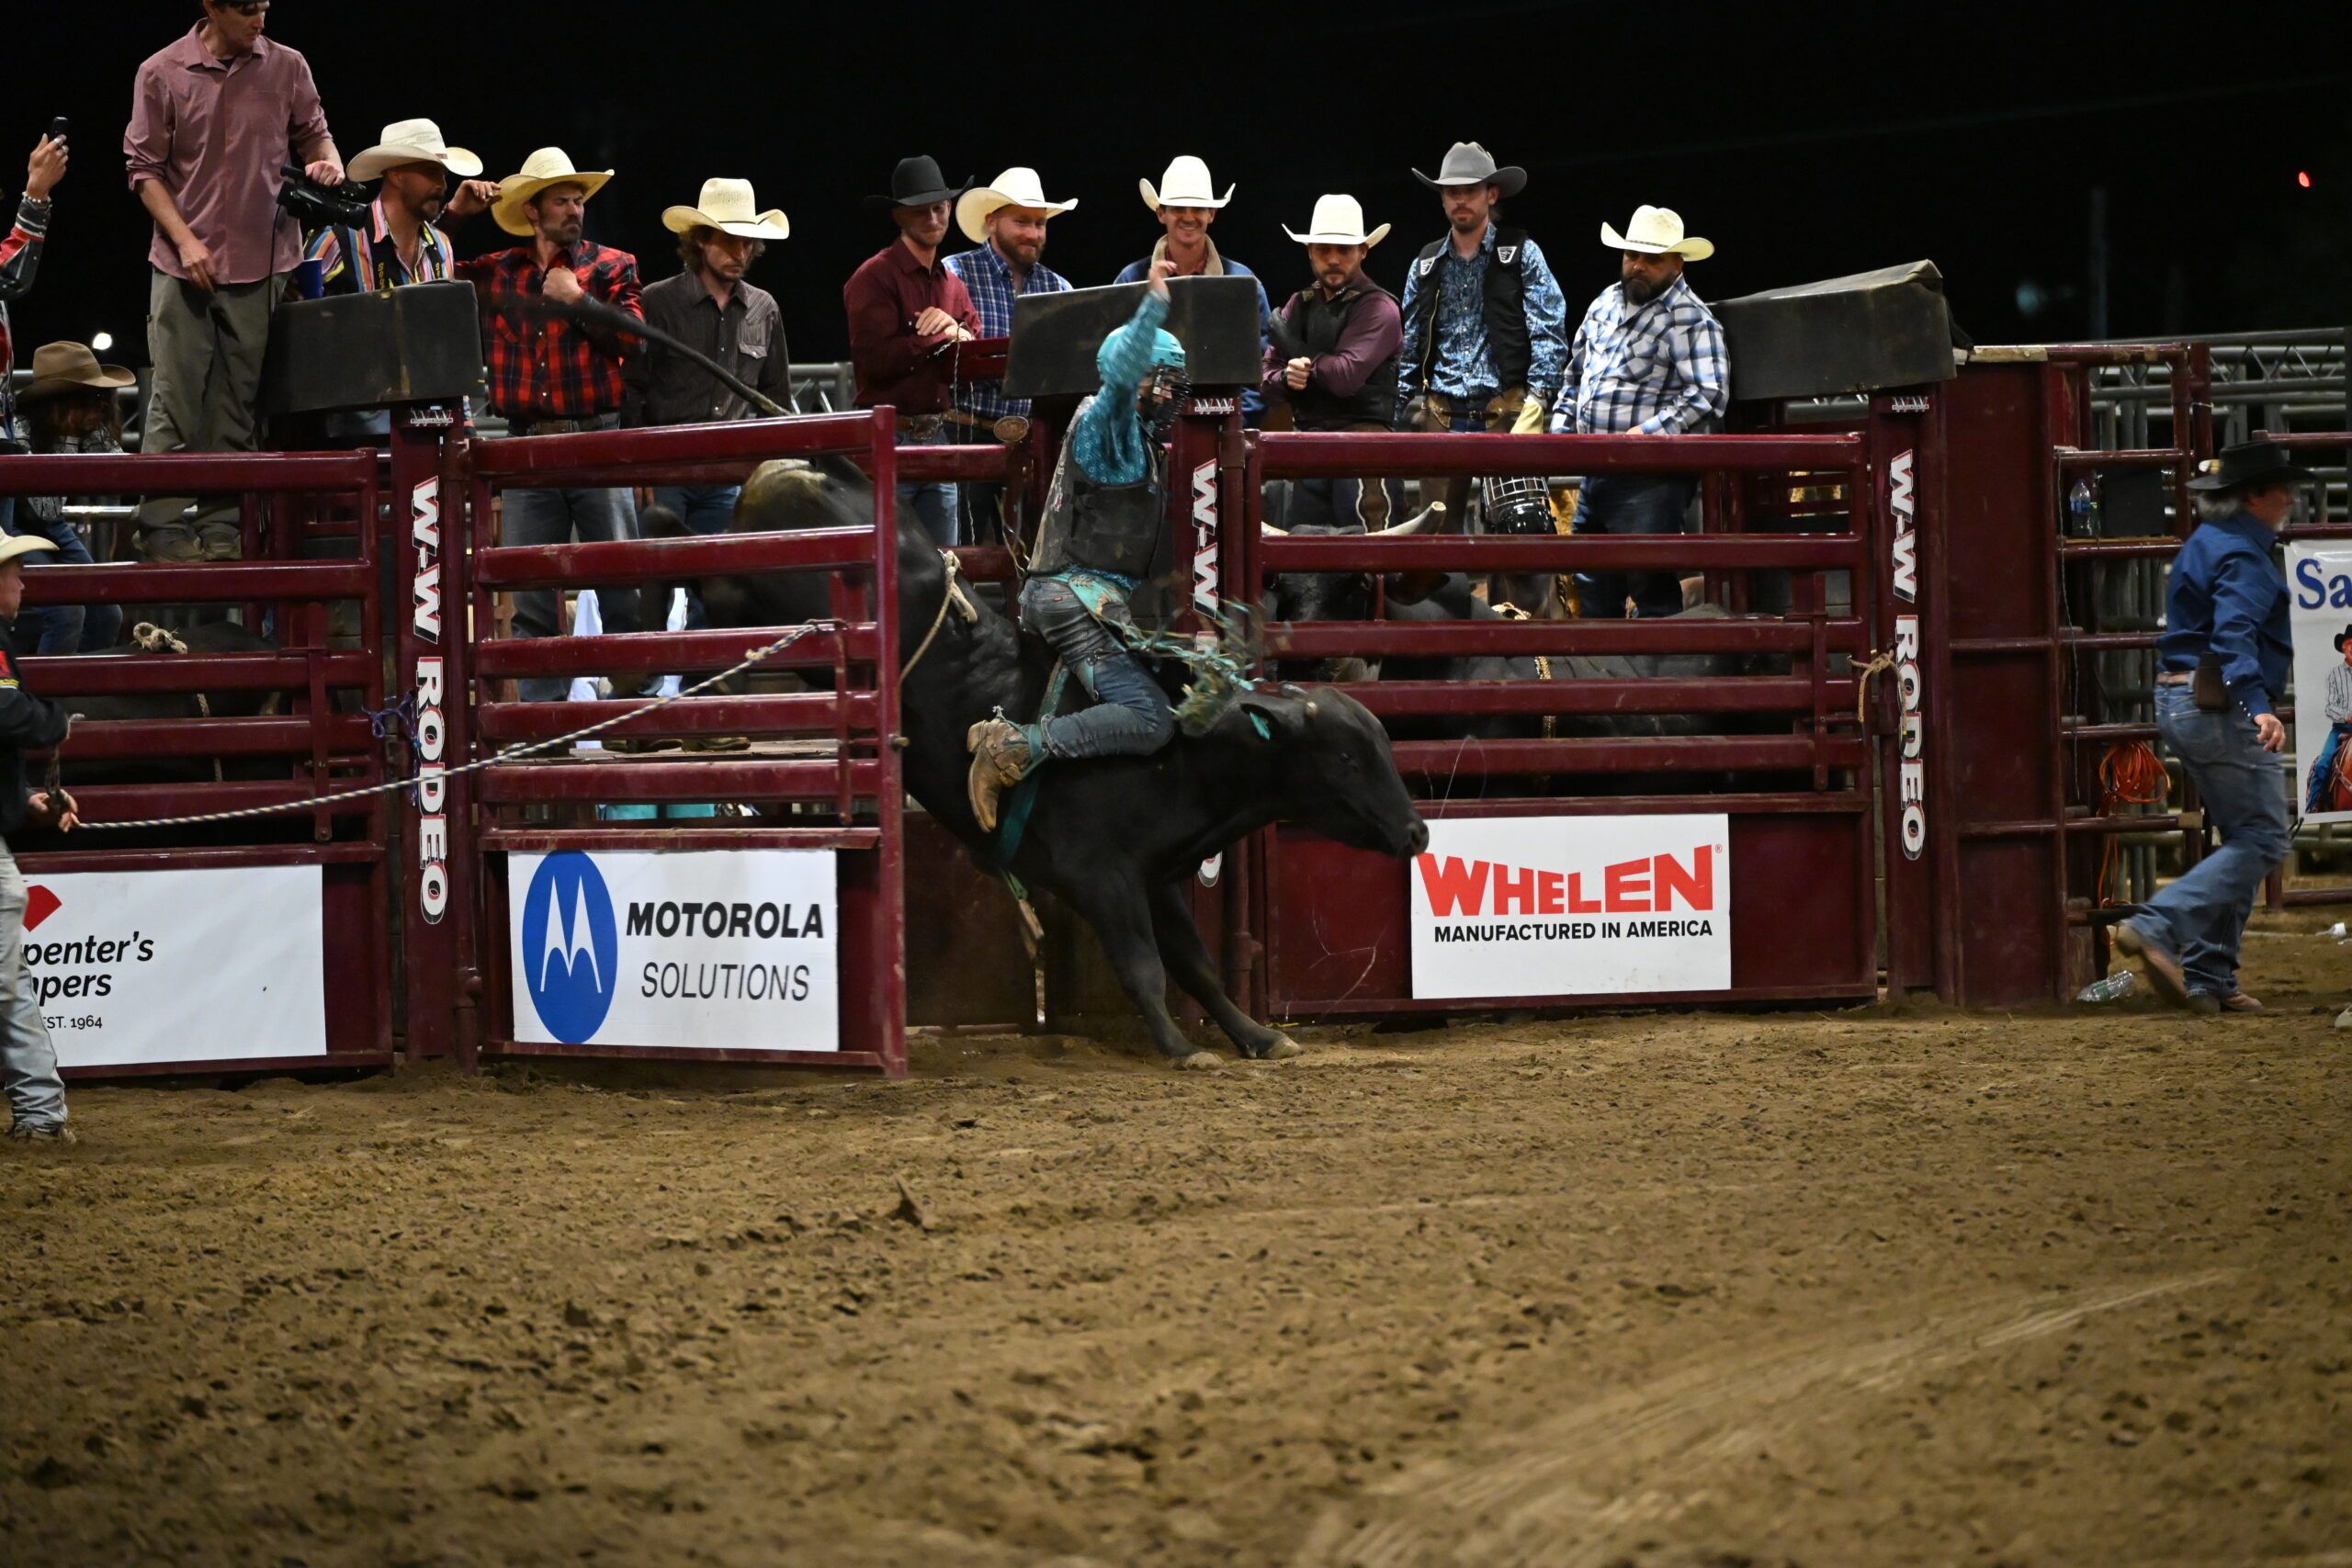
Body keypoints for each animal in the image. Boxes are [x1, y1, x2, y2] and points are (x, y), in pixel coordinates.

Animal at [674, 458, 1429, 1067]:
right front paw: (1181, 1048)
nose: (1418, 831)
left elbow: (1198, 967)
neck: (1185, 748)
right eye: (1347, 758)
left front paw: (1258, 1036)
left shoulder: (1156, 878)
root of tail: (806, 467)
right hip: (749, 589)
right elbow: (1144, 967)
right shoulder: (1102, 877)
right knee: (713, 596)